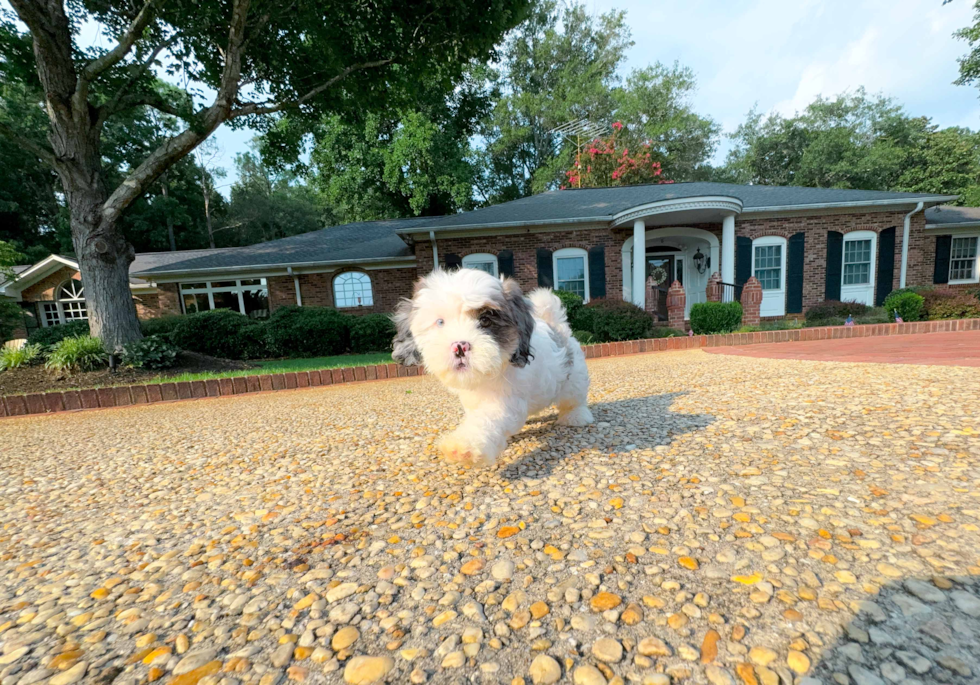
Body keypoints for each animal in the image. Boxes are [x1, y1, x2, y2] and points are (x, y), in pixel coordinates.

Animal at [390, 270, 588, 468]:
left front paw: (464, 445)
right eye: (440, 322)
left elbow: (486, 419)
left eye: (485, 320)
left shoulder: (504, 401)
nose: (460, 347)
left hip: (574, 379)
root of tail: (558, 327)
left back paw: (575, 417)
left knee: (574, 400)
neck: (485, 377)